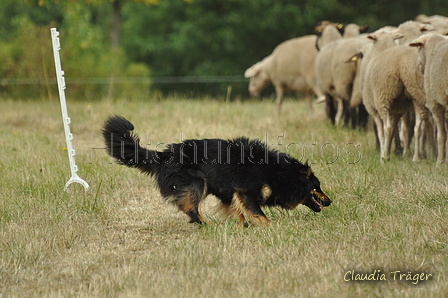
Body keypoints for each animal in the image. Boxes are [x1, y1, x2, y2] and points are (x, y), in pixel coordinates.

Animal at [102, 116, 332, 226]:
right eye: (317, 187)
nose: (330, 201)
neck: (279, 173)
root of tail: (164, 155)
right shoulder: (246, 191)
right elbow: (260, 215)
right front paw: (269, 228)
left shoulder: (230, 193)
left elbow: (239, 213)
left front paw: (242, 228)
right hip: (196, 182)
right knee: (190, 208)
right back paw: (207, 224)